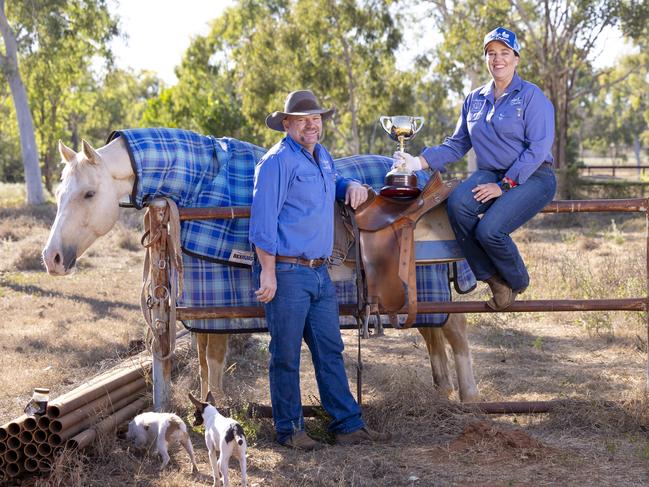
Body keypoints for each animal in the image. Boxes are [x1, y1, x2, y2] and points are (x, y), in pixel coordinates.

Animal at [39, 134, 476, 404]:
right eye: (60, 191)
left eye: (89, 193)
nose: (51, 258)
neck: (202, 186)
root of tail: (422, 181)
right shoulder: (204, 310)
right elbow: (204, 362)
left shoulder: (222, 310)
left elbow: (214, 361)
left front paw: (216, 412)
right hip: (417, 291)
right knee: (433, 334)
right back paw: (441, 394)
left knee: (455, 332)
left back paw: (468, 398)